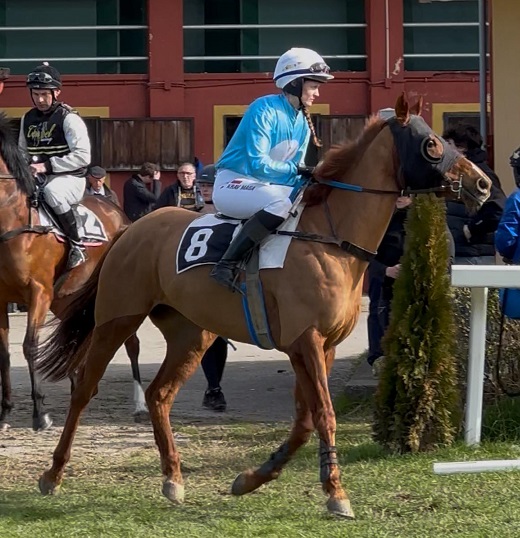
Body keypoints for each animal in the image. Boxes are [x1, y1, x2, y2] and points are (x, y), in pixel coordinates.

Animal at [0, 112, 142, 428]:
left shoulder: (38, 293)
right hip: (67, 298)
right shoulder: (0, 299)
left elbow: (30, 347)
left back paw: (140, 405)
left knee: (131, 342)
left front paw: (40, 413)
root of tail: (121, 215)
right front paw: (5, 413)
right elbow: (3, 352)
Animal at [34, 95, 490, 516]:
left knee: (159, 394)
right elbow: (324, 414)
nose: (483, 184)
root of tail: (128, 228)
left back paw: (173, 479)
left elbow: (305, 420)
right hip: (117, 318)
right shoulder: (305, 340)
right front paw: (337, 494)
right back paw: (52, 474)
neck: (330, 238)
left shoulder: (322, 346)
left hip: (191, 334)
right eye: (432, 145)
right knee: (85, 389)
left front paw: (252, 479)